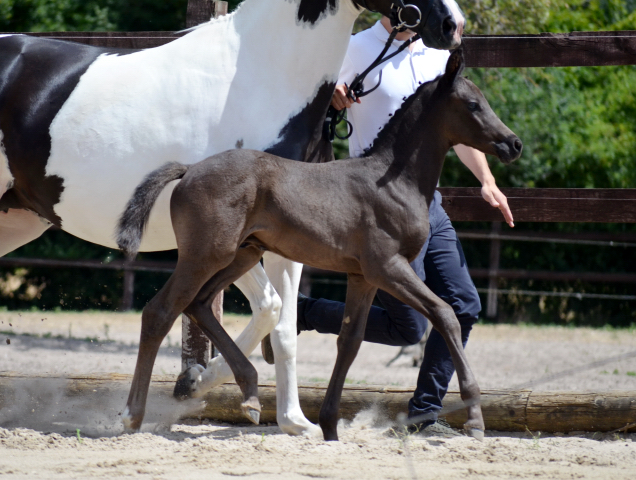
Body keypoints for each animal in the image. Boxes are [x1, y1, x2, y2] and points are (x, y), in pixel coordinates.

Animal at [0, 0, 464, 436]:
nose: (452, 25)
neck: (263, 78)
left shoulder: (282, 243)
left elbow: (281, 324)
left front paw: (289, 419)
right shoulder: (237, 241)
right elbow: (268, 309)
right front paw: (209, 387)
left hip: (18, 219)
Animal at [118, 47, 520, 438]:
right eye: (473, 104)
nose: (513, 144)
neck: (391, 181)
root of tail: (188, 171)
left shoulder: (363, 277)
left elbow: (350, 341)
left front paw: (329, 425)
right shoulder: (388, 267)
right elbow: (445, 314)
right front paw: (475, 417)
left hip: (241, 255)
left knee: (199, 304)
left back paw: (250, 393)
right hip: (204, 255)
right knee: (160, 312)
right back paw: (131, 416)